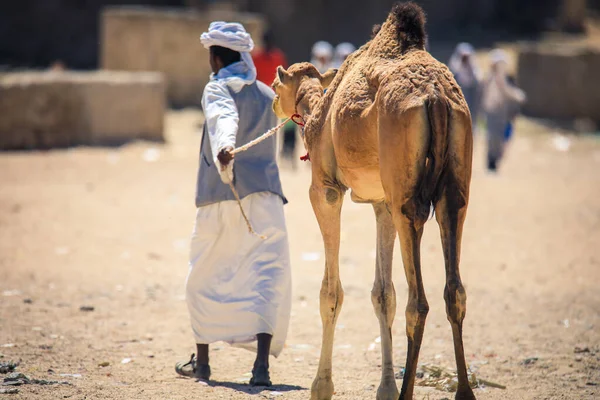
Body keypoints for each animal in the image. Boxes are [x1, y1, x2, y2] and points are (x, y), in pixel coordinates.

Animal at [270, 2, 474, 400]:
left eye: (274, 84)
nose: (272, 104)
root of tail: (437, 98)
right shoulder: (380, 202)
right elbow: (383, 295)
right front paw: (385, 387)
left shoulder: (326, 190)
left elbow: (331, 293)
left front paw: (322, 386)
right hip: (452, 185)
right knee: (454, 289)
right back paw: (463, 392)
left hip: (405, 195)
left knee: (418, 302)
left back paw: (410, 391)